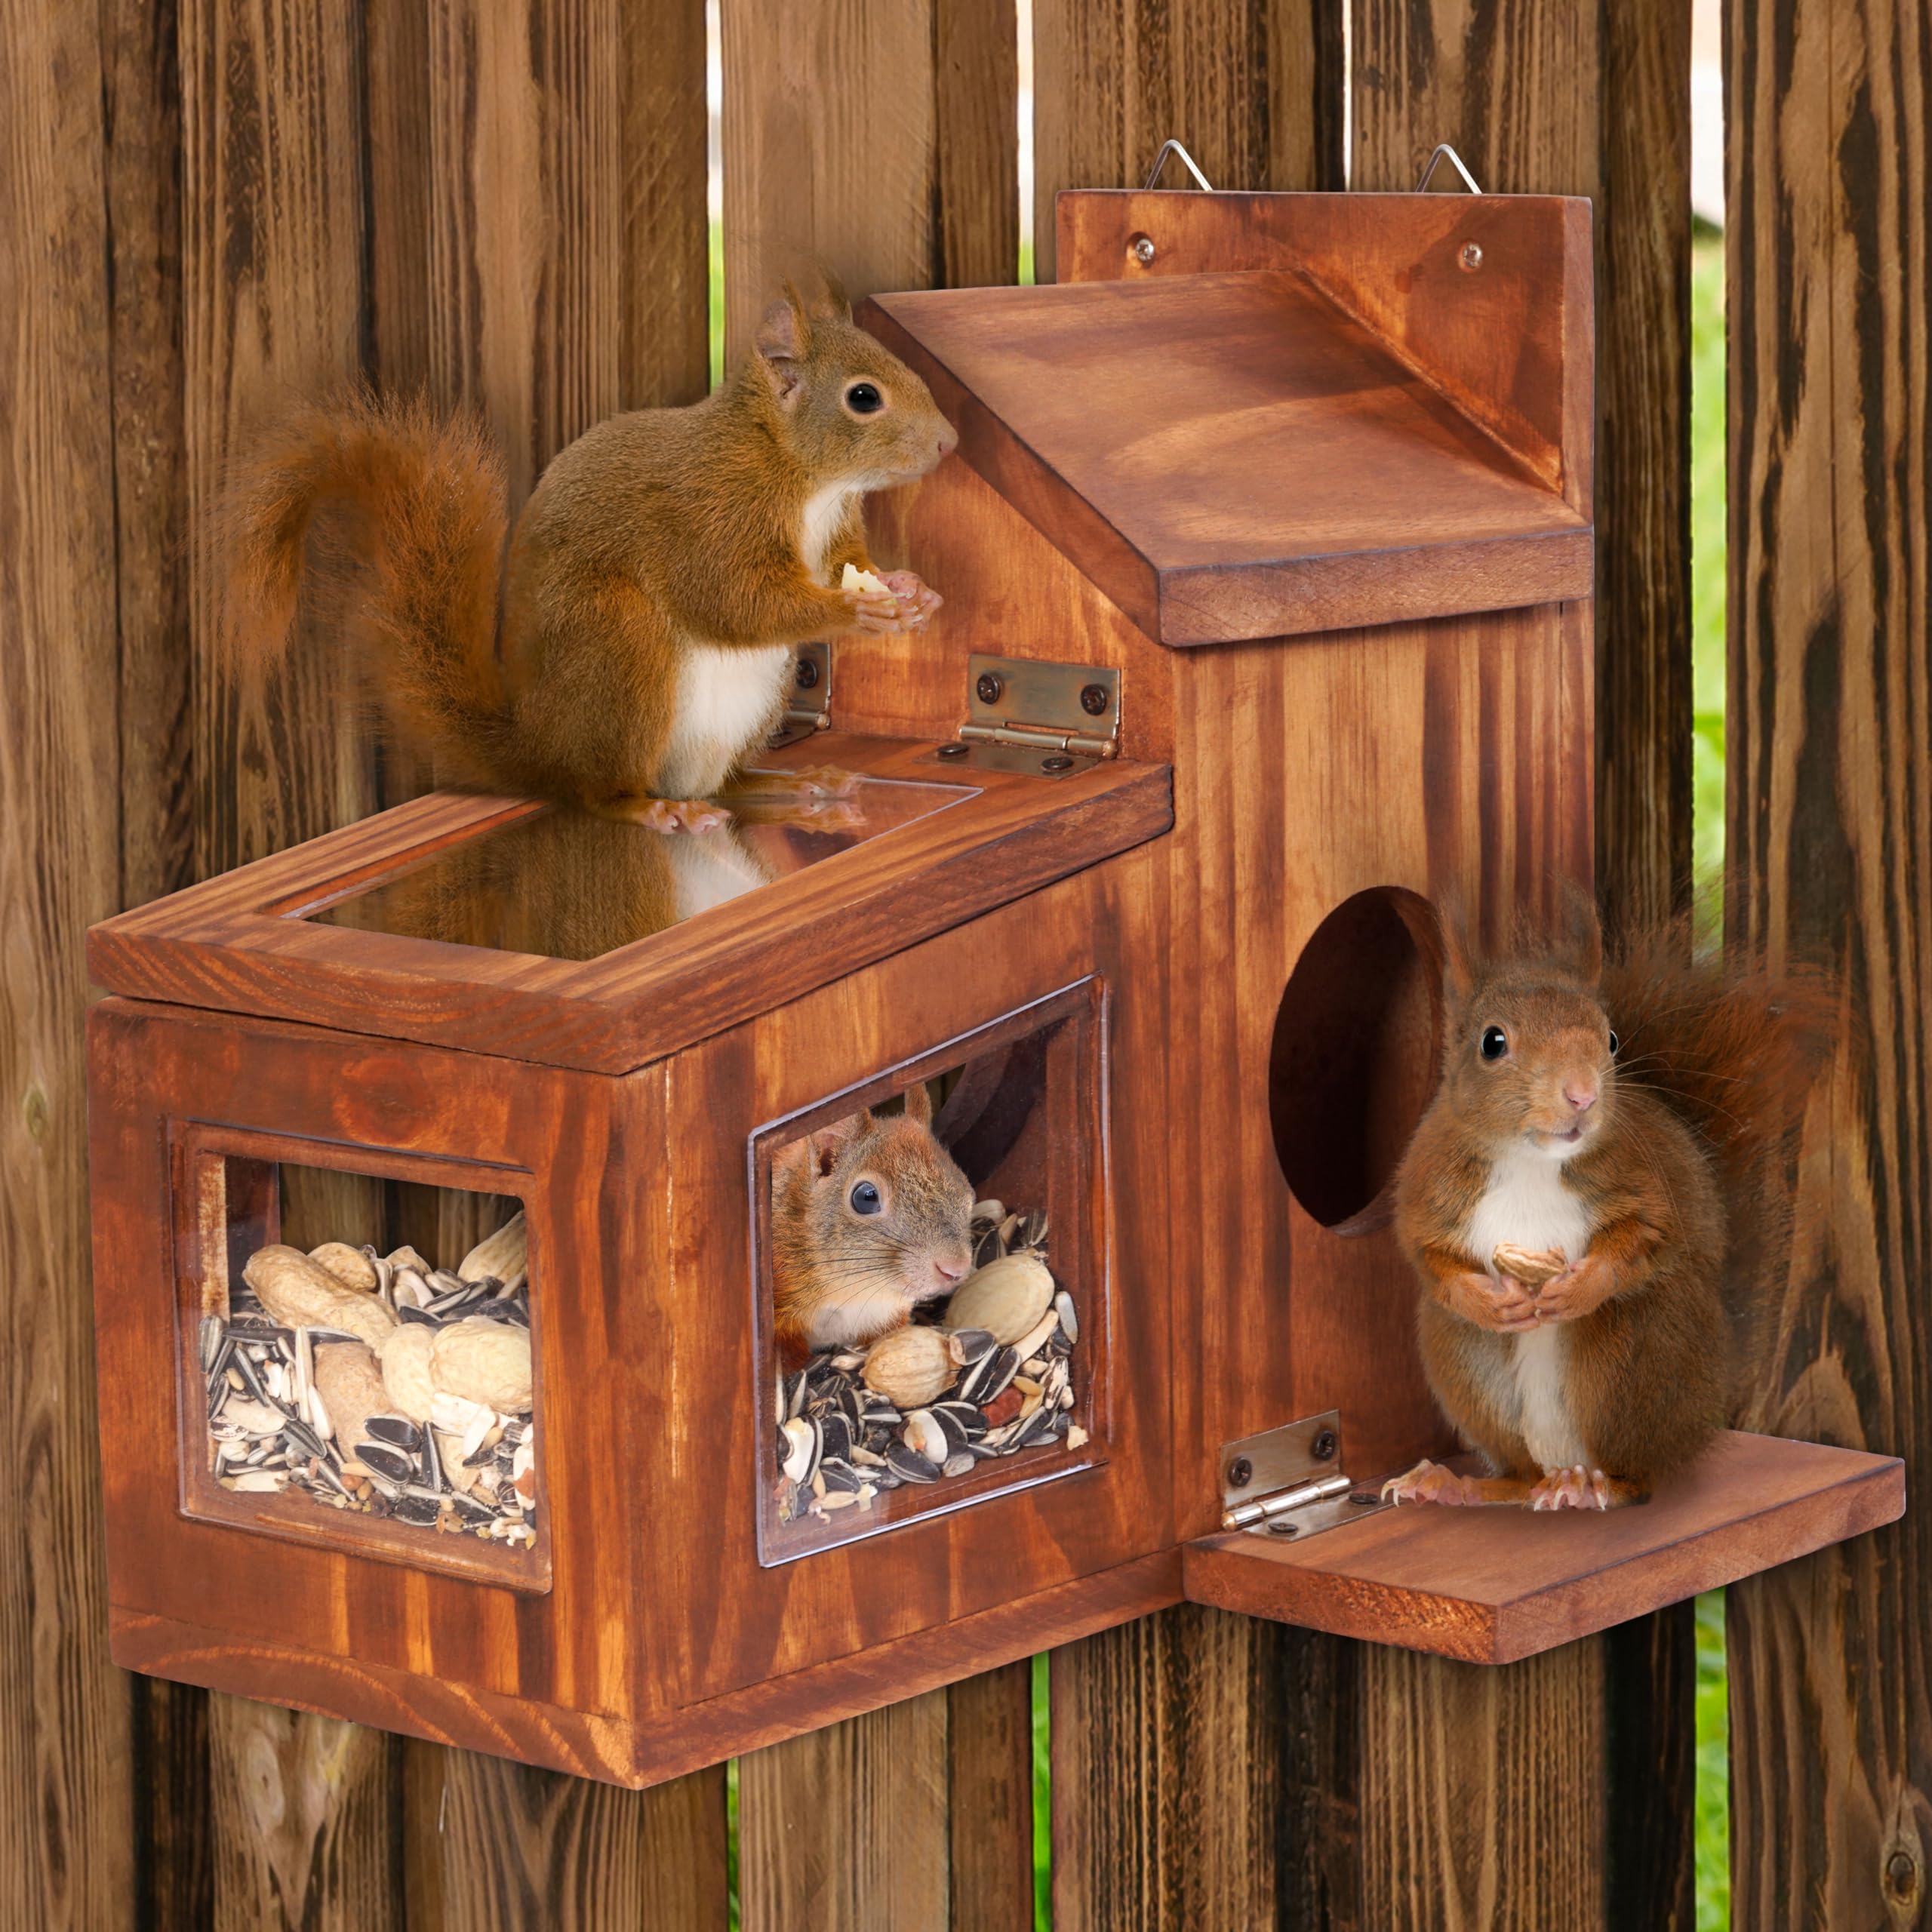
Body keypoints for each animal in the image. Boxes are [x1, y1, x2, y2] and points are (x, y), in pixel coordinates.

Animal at [218, 276, 958, 830]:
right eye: (863, 397)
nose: (949, 442)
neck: (805, 478)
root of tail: (539, 750)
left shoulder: (834, 532)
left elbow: (844, 564)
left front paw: (913, 593)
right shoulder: (709, 517)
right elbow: (735, 602)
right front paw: (860, 614)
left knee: (724, 786)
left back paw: (793, 783)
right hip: (618, 645)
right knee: (599, 793)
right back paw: (650, 809)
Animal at [1384, 895, 1833, 1511]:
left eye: (1613, 1039)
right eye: (1492, 1043)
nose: (1583, 1095)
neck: (1531, 1161)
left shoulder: (1646, 1184)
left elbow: (1646, 1239)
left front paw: (1578, 1288)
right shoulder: (1429, 1188)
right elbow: (1428, 1258)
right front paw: (1486, 1301)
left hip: (1632, 1359)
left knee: (1639, 1475)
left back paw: (1594, 1487)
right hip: (1466, 1362)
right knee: (1519, 1473)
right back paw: (1456, 1484)